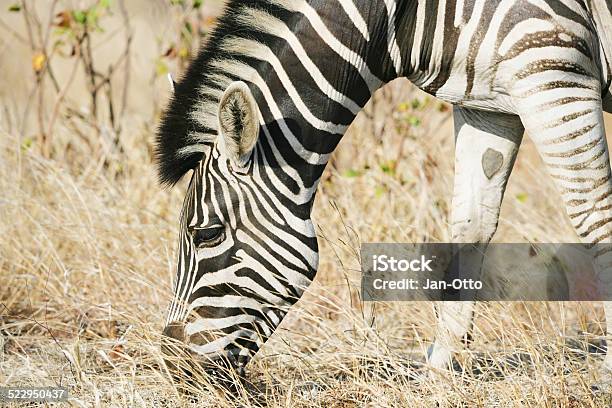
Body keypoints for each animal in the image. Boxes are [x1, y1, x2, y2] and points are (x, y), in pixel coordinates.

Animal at [157, 0, 612, 386]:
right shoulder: (487, 103)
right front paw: (439, 372)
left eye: (207, 233)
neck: (404, 19)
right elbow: (471, 227)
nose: (174, 367)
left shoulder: (554, 72)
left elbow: (594, 217)